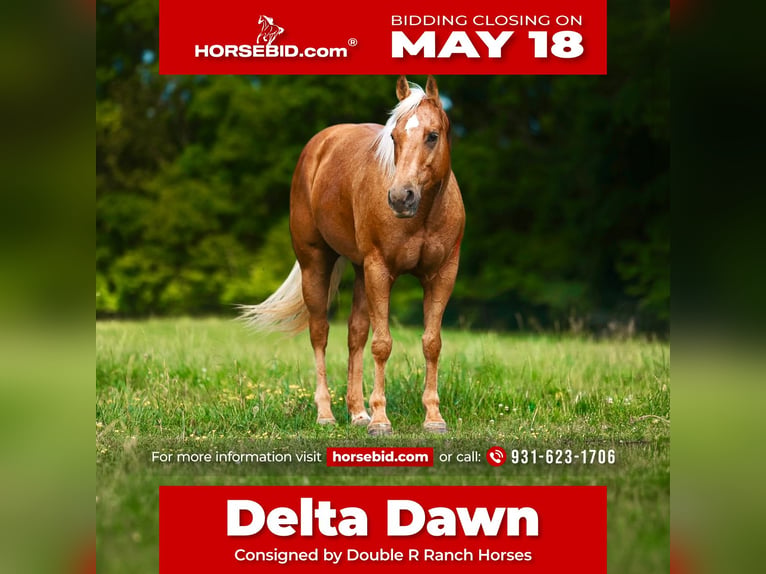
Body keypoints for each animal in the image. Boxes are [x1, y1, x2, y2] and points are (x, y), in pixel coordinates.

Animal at [240, 76, 465, 435]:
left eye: (432, 135)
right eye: (393, 136)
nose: (400, 197)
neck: (424, 215)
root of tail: (320, 144)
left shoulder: (442, 274)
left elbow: (431, 343)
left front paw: (432, 418)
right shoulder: (380, 270)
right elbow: (382, 344)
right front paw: (381, 421)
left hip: (361, 271)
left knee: (354, 334)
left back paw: (358, 413)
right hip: (316, 264)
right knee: (320, 333)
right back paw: (326, 413)